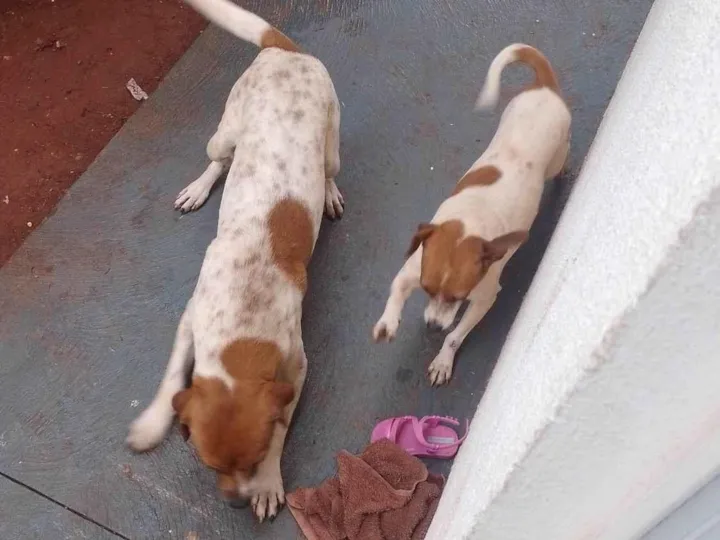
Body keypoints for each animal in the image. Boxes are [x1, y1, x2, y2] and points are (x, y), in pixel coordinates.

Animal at [126, 0, 344, 522]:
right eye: (208, 465)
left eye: (252, 459)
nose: (234, 502)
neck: (243, 322)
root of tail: (285, 52)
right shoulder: (191, 319)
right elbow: (172, 380)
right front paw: (152, 423)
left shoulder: (297, 367)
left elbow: (281, 426)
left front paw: (268, 482)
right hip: (224, 133)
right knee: (220, 158)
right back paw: (199, 187)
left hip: (331, 144)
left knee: (329, 169)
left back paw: (328, 192)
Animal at [372, 43, 570, 385]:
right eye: (427, 289)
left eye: (459, 297)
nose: (433, 327)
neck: (467, 222)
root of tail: (544, 86)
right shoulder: (412, 269)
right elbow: (395, 292)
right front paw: (389, 321)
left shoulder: (484, 299)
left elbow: (457, 335)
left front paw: (443, 359)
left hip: (556, 158)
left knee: (563, 160)